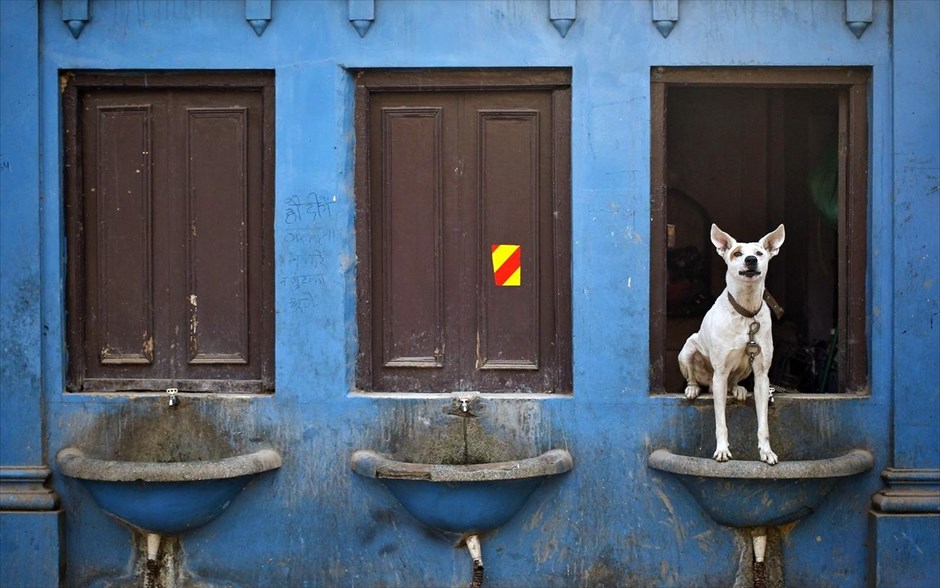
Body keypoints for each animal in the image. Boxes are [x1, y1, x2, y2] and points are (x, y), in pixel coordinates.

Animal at [680, 224, 784, 464]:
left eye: (759, 253)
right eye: (737, 253)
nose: (750, 260)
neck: (746, 312)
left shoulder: (762, 376)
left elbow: (763, 425)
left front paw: (766, 451)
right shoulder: (719, 374)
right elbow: (721, 423)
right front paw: (722, 450)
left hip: (746, 366)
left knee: (734, 381)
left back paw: (738, 389)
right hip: (688, 349)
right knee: (693, 376)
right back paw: (692, 388)